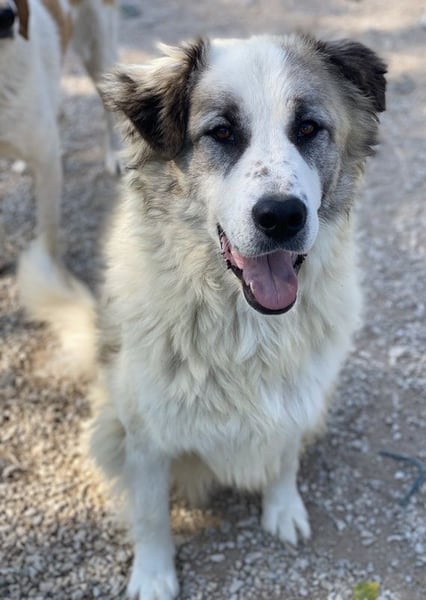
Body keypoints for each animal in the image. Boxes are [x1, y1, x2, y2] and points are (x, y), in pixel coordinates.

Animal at [89, 34, 386, 599]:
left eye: (308, 128)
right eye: (222, 132)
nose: (282, 216)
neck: (245, 325)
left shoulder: (298, 398)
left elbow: (284, 458)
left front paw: (283, 508)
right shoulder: (145, 434)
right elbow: (151, 513)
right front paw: (154, 575)